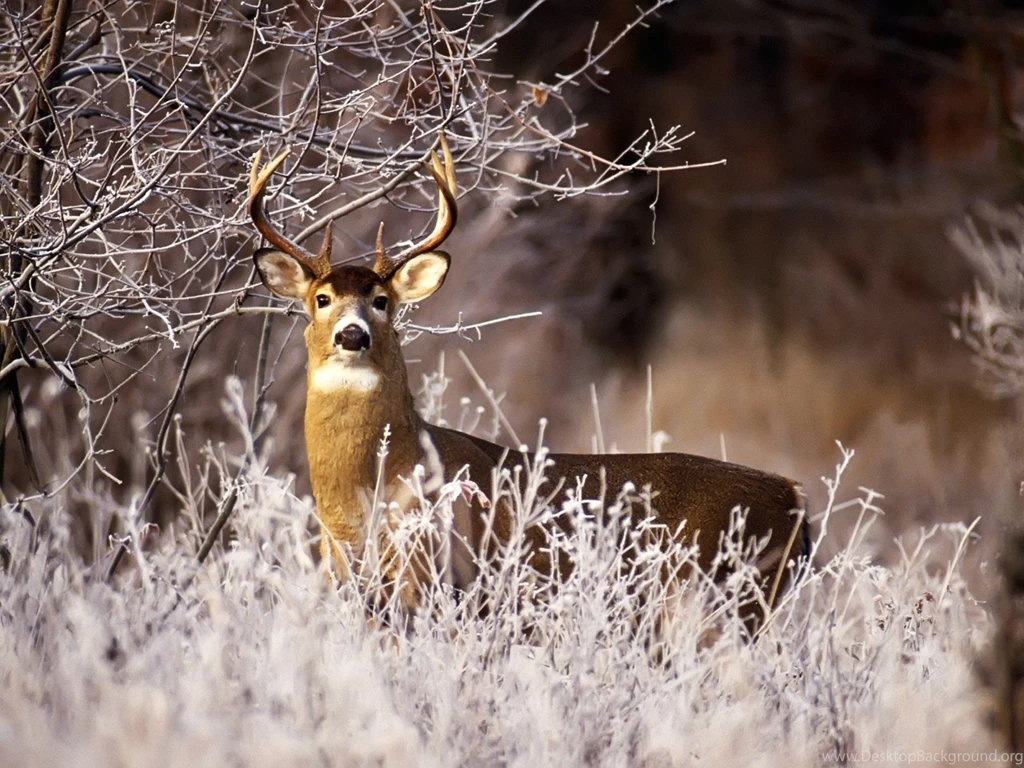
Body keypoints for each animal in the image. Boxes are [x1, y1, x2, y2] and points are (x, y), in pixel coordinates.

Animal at [247, 135, 808, 630]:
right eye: (321, 298)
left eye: (382, 301)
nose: (352, 334)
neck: (362, 499)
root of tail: (793, 495)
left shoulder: (437, 582)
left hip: (721, 598)